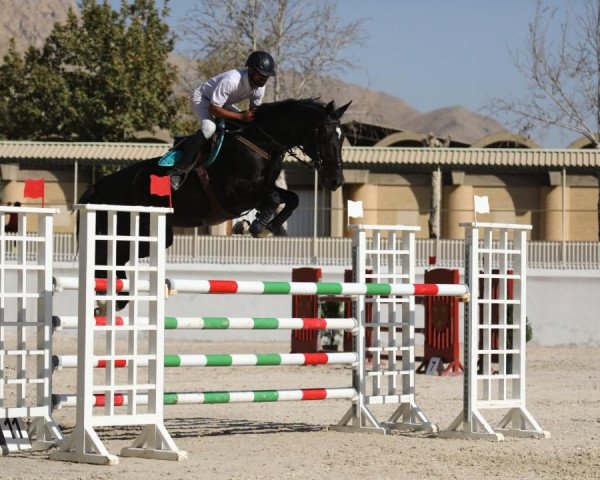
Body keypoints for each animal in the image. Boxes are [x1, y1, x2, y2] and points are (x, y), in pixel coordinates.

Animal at [79, 98, 352, 308]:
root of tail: (97, 189)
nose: (336, 180)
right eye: (324, 136)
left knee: (117, 258)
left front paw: (268, 226)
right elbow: (274, 198)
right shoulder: (233, 194)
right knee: (105, 256)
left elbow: (290, 198)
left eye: (342, 138)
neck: (259, 143)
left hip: (155, 234)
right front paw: (258, 226)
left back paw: (117, 297)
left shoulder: (262, 188)